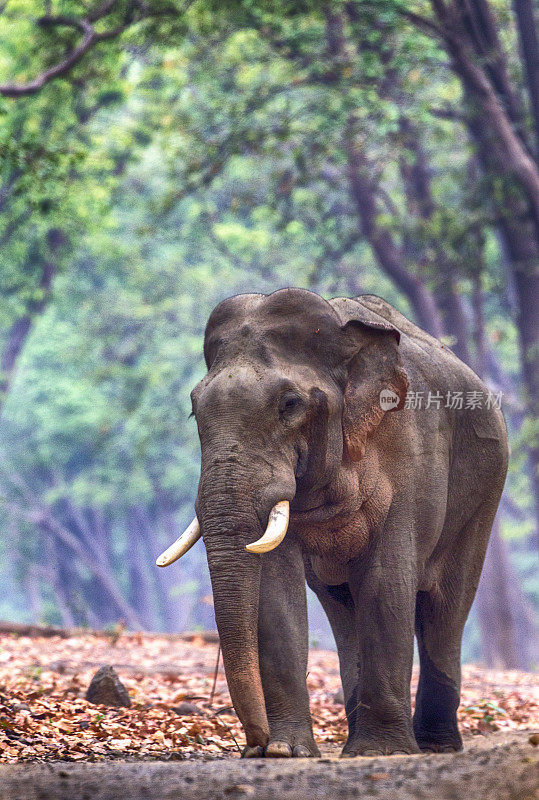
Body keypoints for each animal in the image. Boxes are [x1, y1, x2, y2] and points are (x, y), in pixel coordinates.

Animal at [157, 288, 510, 756]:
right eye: (195, 410)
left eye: (290, 405)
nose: (253, 744)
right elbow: (277, 585)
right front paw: (285, 752)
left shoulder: (410, 455)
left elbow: (386, 581)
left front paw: (382, 752)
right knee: (345, 607)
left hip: (486, 491)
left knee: (444, 607)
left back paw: (435, 746)